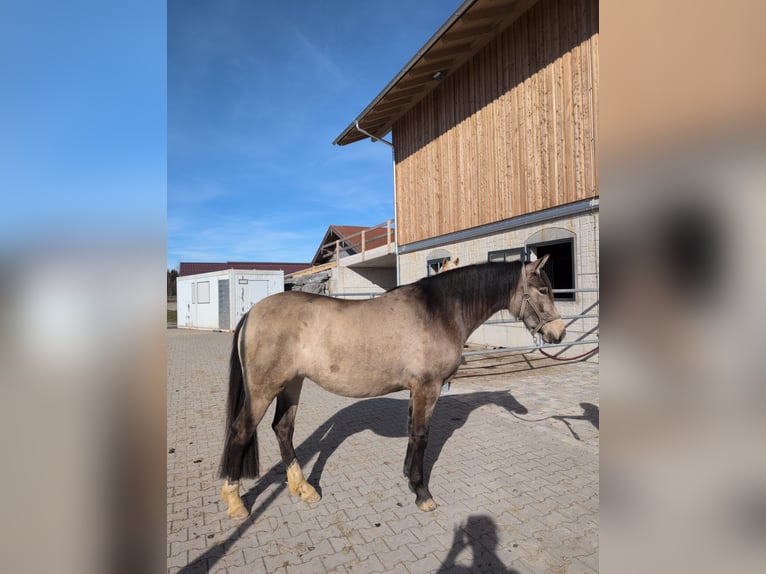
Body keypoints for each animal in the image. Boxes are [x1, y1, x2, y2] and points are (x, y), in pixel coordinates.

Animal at [219, 255, 565, 519]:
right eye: (543, 289)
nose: (558, 333)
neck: (440, 311)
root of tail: (252, 312)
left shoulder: (417, 390)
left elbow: (413, 431)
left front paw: (409, 481)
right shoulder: (428, 388)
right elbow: (422, 436)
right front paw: (423, 493)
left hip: (292, 384)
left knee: (283, 429)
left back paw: (303, 488)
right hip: (264, 390)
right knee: (241, 430)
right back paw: (235, 503)